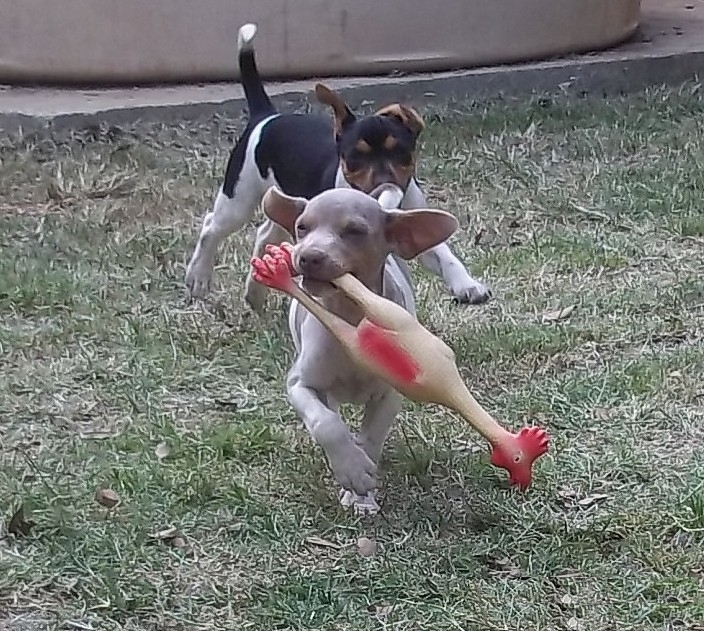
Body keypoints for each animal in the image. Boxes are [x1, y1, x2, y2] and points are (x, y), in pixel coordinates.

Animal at [184, 23, 490, 310]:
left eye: (400, 152)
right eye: (355, 157)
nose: (384, 181)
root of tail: (266, 116)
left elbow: (443, 254)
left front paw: (467, 285)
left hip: (280, 199)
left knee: (264, 233)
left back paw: (255, 291)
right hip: (239, 198)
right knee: (211, 226)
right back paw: (198, 277)